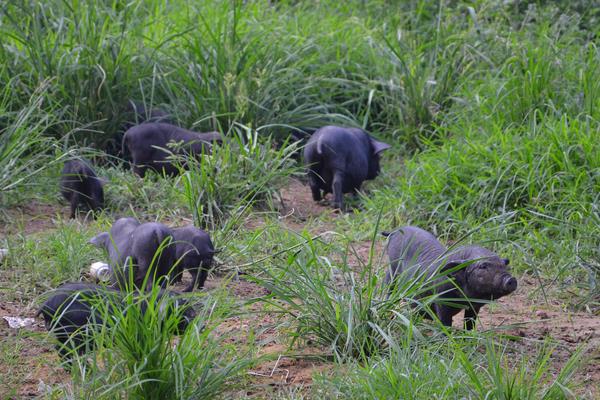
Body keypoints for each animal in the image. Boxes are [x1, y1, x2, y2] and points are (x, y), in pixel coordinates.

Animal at [384, 227, 516, 330]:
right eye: (483, 266)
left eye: (504, 265)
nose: (511, 279)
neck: (464, 299)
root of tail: (395, 231)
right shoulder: (441, 300)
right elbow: (445, 322)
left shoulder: (474, 306)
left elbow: (469, 323)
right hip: (392, 267)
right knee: (389, 287)